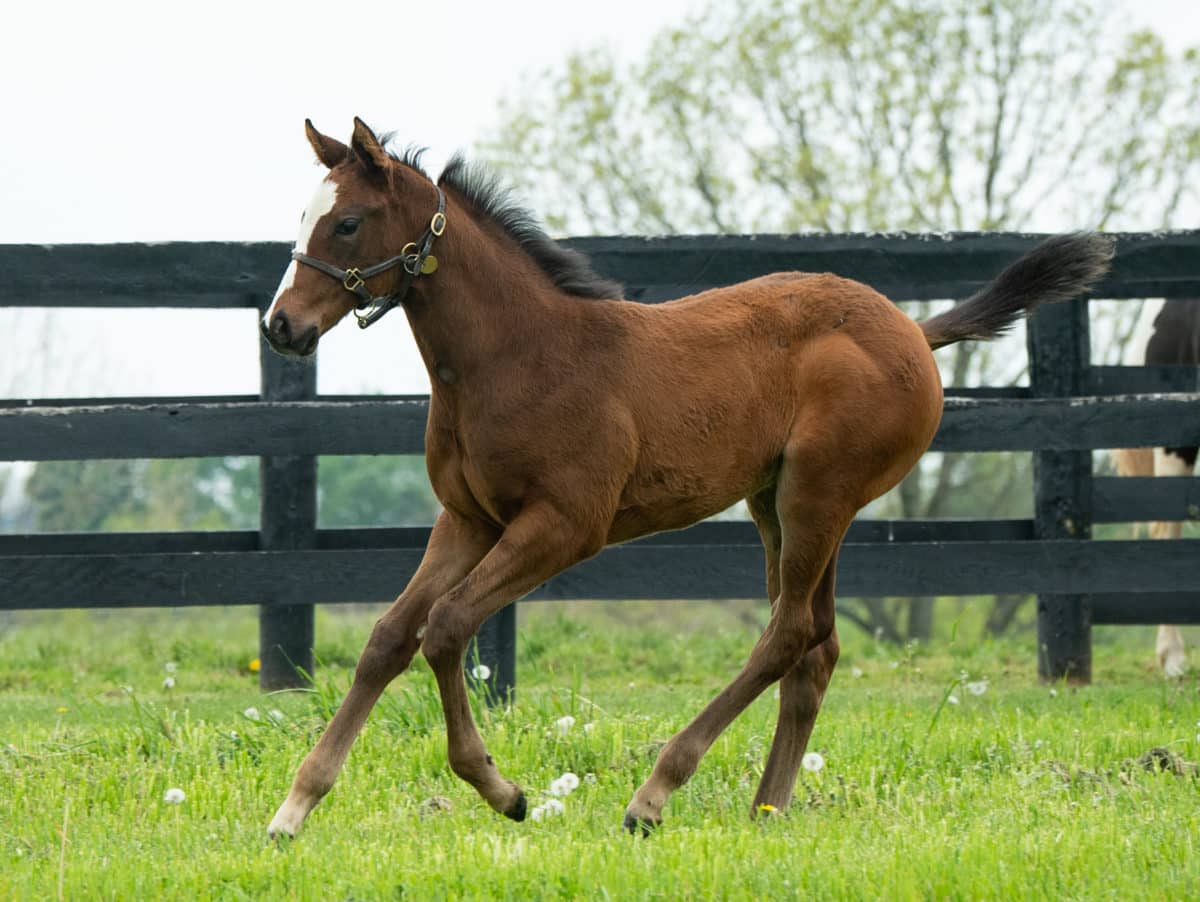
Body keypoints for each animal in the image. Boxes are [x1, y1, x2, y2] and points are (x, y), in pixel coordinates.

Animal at [262, 119, 1113, 839]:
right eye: (302, 216)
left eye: (347, 223)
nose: (281, 326)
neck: (519, 355)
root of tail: (911, 328)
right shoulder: (470, 520)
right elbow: (387, 638)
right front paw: (295, 807)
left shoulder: (564, 526)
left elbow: (446, 625)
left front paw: (502, 790)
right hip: (777, 502)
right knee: (816, 645)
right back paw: (768, 806)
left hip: (819, 494)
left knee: (788, 633)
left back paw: (655, 793)